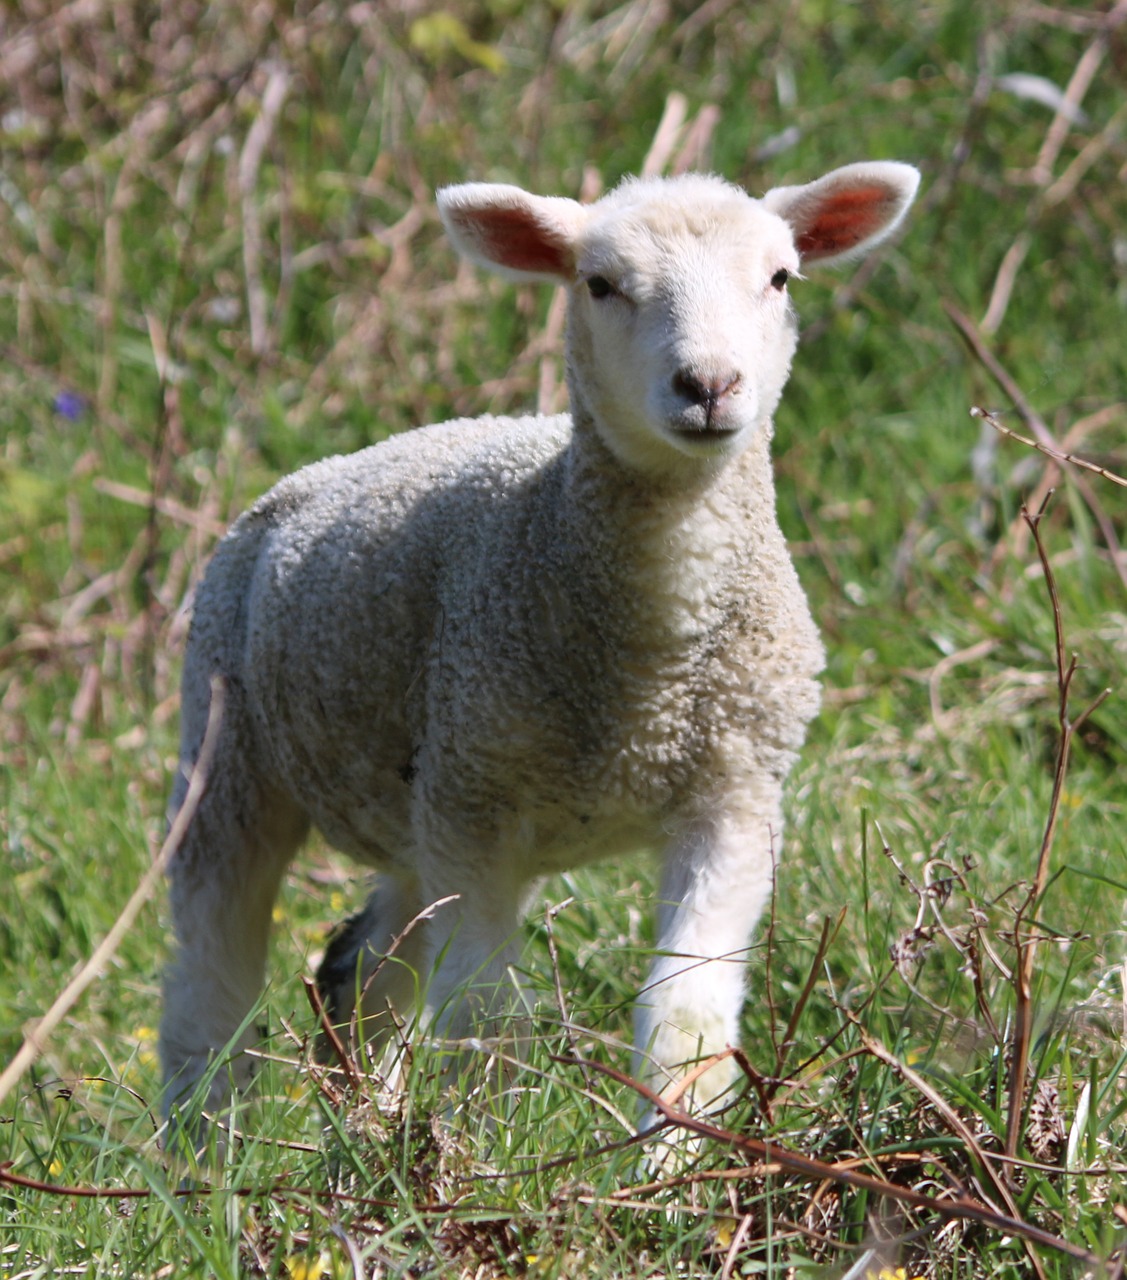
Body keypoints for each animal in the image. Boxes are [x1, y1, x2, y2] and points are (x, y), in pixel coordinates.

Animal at [156, 160, 916, 1131]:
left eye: (779, 277)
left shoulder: (735, 799)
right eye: (599, 284)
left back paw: (363, 1122)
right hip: (234, 756)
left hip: (422, 802)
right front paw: (494, 1147)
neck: (653, 667)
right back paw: (201, 1150)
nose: (708, 385)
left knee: (363, 968)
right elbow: (488, 1018)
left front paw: (671, 1161)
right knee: (210, 978)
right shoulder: (477, 811)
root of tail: (300, 482)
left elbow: (685, 1019)